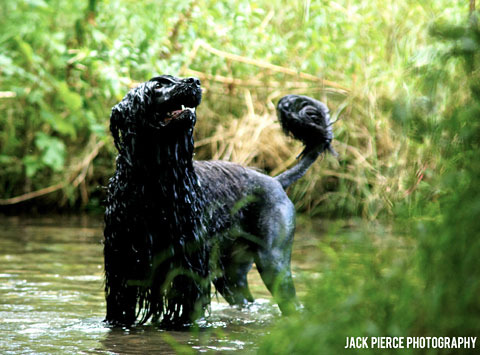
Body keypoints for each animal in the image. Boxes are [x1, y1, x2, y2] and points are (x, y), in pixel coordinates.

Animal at [103, 75, 336, 328]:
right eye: (159, 84)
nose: (195, 81)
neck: (154, 181)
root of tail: (275, 180)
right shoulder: (121, 271)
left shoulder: (189, 270)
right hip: (231, 276)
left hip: (273, 262)